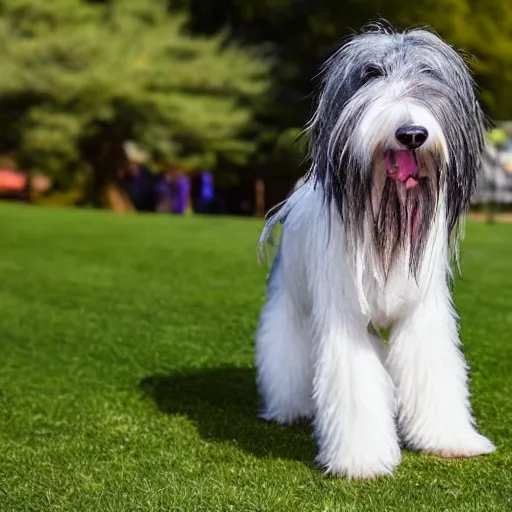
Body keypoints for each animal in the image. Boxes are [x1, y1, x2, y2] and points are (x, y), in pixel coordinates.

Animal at [256, 23, 496, 480]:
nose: (412, 134)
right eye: (371, 74)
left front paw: (451, 440)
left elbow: (433, 372)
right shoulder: (344, 318)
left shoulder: (423, 315)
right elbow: (355, 386)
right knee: (285, 349)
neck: (387, 215)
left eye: (428, 74)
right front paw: (362, 459)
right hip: (291, 301)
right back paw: (290, 408)